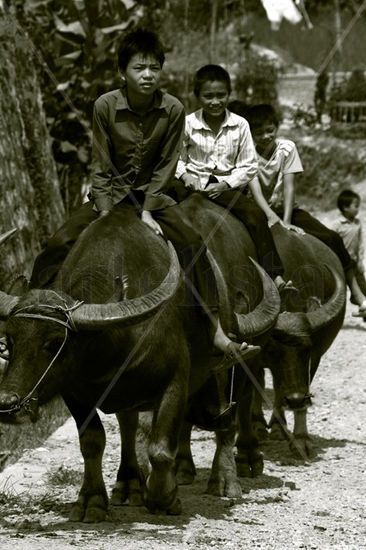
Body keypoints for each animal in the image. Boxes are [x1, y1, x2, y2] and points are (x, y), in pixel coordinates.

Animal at [0, 199, 280, 520]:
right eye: (9, 339)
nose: (8, 404)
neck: (109, 339)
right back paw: (133, 483)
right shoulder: (74, 391)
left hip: (237, 361)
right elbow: (94, 441)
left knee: (233, 412)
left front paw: (164, 497)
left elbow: (159, 447)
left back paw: (227, 477)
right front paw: (92, 500)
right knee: (132, 423)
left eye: (55, 342)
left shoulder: (175, 380)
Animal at [240, 223, 346, 462]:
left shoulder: (314, 358)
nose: (296, 399)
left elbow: (290, 387)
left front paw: (300, 439)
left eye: (306, 350)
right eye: (272, 351)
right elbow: (258, 384)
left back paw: (278, 426)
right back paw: (259, 423)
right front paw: (257, 426)